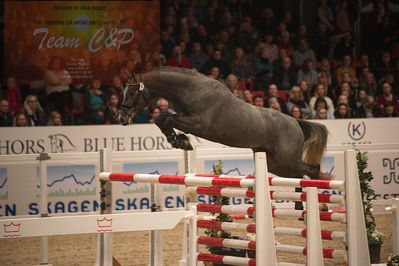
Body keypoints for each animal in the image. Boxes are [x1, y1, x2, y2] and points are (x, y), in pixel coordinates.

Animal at [120, 66, 330, 181]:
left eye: (132, 92)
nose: (122, 118)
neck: (192, 90)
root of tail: (295, 121)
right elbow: (161, 118)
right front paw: (177, 139)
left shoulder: (198, 124)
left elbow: (166, 118)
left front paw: (180, 140)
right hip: (276, 164)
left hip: (287, 160)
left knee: (312, 169)